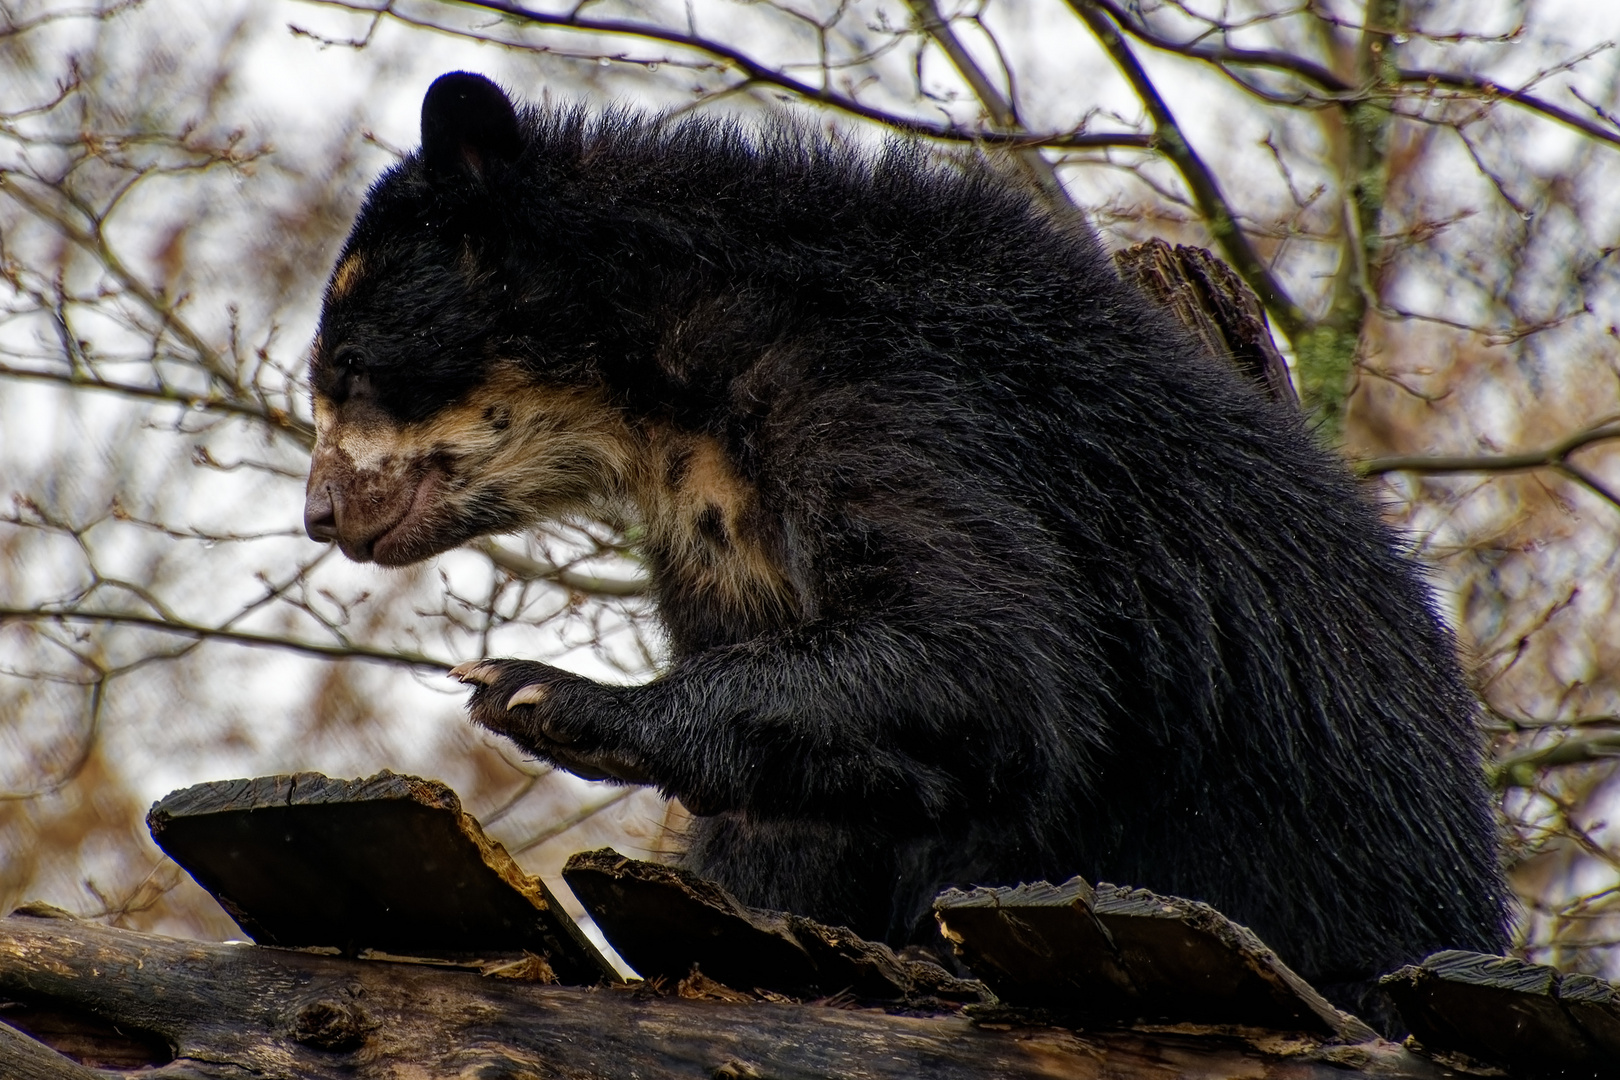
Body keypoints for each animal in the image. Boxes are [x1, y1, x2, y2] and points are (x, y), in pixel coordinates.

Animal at [301, 69, 1503, 1023]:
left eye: (348, 371)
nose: (322, 515)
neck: (664, 397)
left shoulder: (898, 402)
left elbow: (986, 660)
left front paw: (541, 694)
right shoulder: (714, 530)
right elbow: (807, 807)